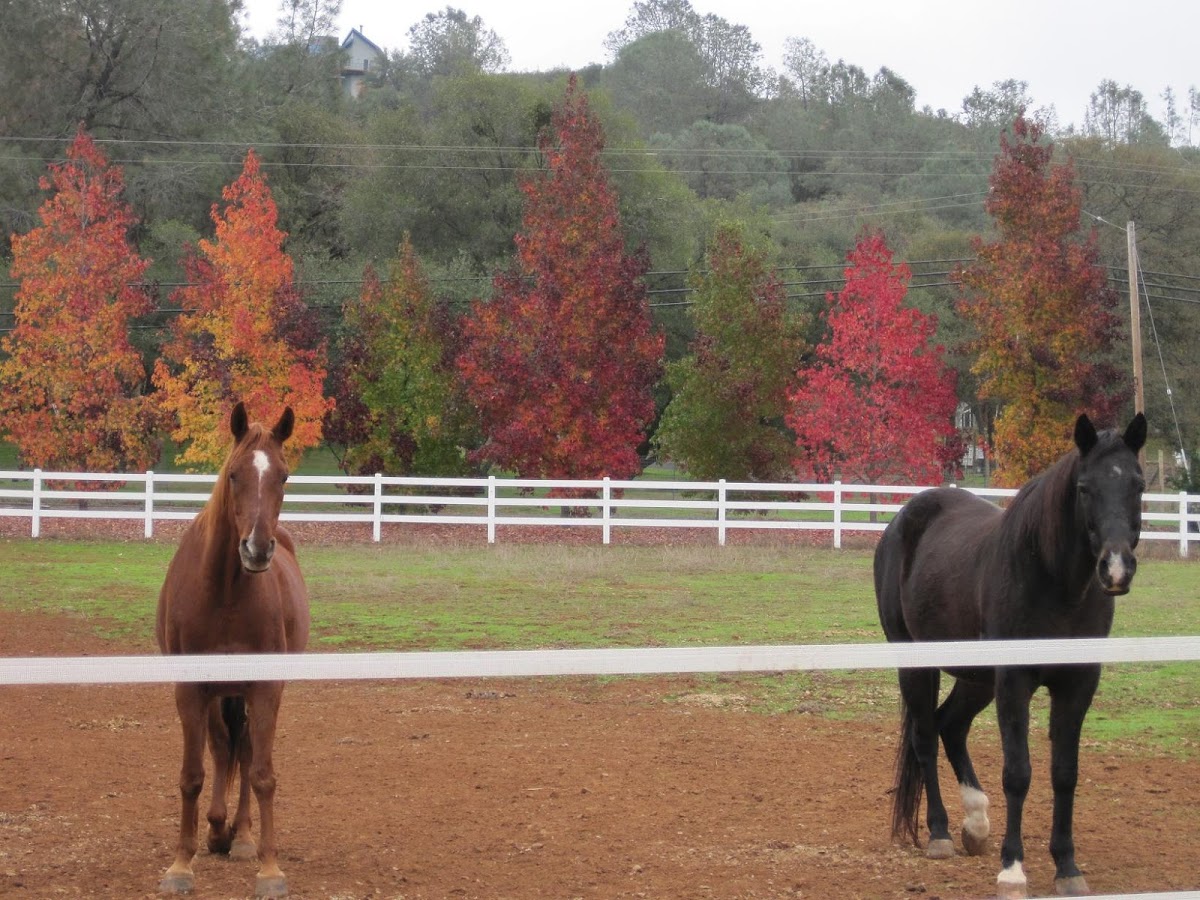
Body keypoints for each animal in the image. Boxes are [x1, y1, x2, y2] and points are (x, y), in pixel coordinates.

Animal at [155, 402, 310, 899]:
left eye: (283, 475)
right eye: (235, 474)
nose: (257, 549)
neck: (223, 591)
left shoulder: (264, 687)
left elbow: (261, 774)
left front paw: (269, 868)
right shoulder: (190, 688)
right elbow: (192, 775)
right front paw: (181, 864)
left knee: (241, 750)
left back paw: (238, 836)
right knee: (224, 748)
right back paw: (217, 829)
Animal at [874, 412, 1146, 899]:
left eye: (1138, 483)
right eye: (1084, 487)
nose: (1116, 568)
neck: (1054, 580)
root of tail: (902, 520)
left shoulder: (1078, 683)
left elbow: (1065, 772)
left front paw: (1067, 867)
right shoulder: (1014, 680)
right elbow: (1018, 772)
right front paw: (1013, 869)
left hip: (977, 677)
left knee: (950, 726)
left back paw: (976, 823)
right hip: (917, 664)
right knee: (925, 736)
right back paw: (941, 833)